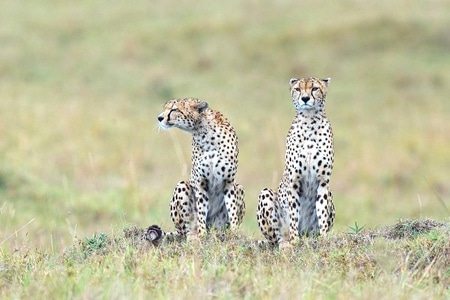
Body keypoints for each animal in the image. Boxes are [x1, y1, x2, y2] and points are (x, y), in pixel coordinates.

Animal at [147, 97, 246, 243]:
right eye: (165, 108)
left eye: (174, 109)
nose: (159, 118)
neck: (204, 132)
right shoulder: (200, 183)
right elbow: (201, 211)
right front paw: (201, 234)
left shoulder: (229, 182)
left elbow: (232, 209)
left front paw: (235, 233)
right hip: (182, 186)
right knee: (184, 231)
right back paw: (193, 235)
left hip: (238, 189)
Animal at [256, 77, 334, 248]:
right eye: (298, 89)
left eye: (315, 88)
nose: (305, 98)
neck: (310, 121)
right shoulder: (294, 182)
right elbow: (293, 214)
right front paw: (294, 240)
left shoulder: (323, 182)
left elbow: (322, 213)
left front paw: (325, 238)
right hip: (265, 193)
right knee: (275, 239)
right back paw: (285, 243)